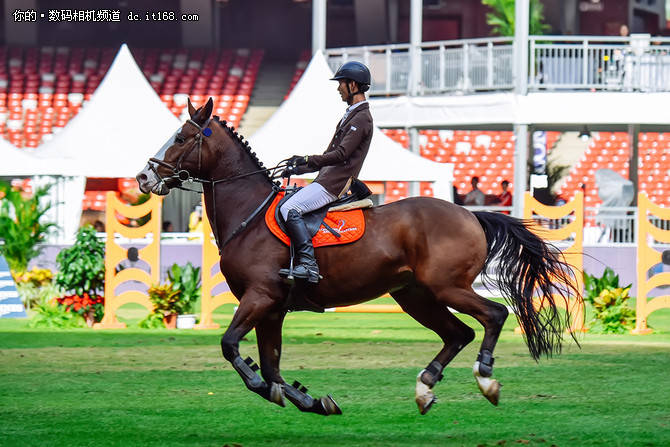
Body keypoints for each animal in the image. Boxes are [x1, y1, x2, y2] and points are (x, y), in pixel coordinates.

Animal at [136, 98, 584, 416]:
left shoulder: (260, 297)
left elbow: (231, 347)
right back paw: (425, 388)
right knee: (458, 333)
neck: (249, 213)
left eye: (181, 138)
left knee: (493, 315)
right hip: (415, 295)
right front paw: (309, 400)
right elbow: (271, 364)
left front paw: (274, 391)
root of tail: (470, 215)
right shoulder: (272, 307)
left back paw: (485, 379)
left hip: (447, 287)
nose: (143, 177)